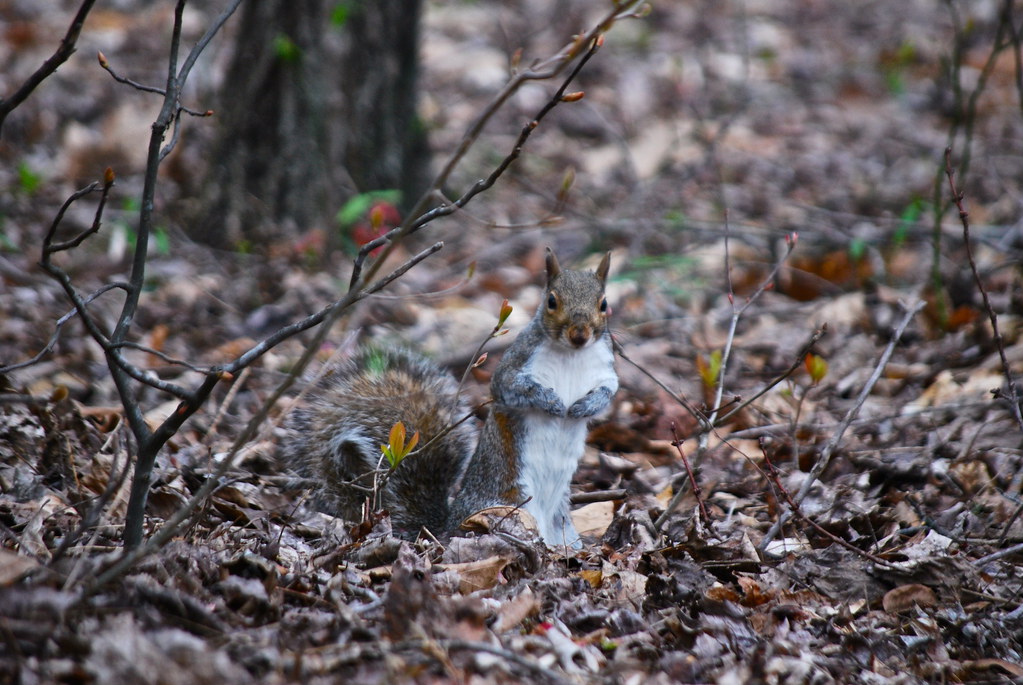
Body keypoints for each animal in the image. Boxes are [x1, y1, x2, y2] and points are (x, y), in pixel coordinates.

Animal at [277, 247, 618, 548]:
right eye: (551, 301)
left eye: (604, 304)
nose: (580, 334)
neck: (571, 354)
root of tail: (445, 529)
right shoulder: (514, 366)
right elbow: (511, 388)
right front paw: (551, 401)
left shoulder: (606, 371)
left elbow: (609, 392)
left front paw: (585, 405)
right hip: (511, 506)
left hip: (561, 522)